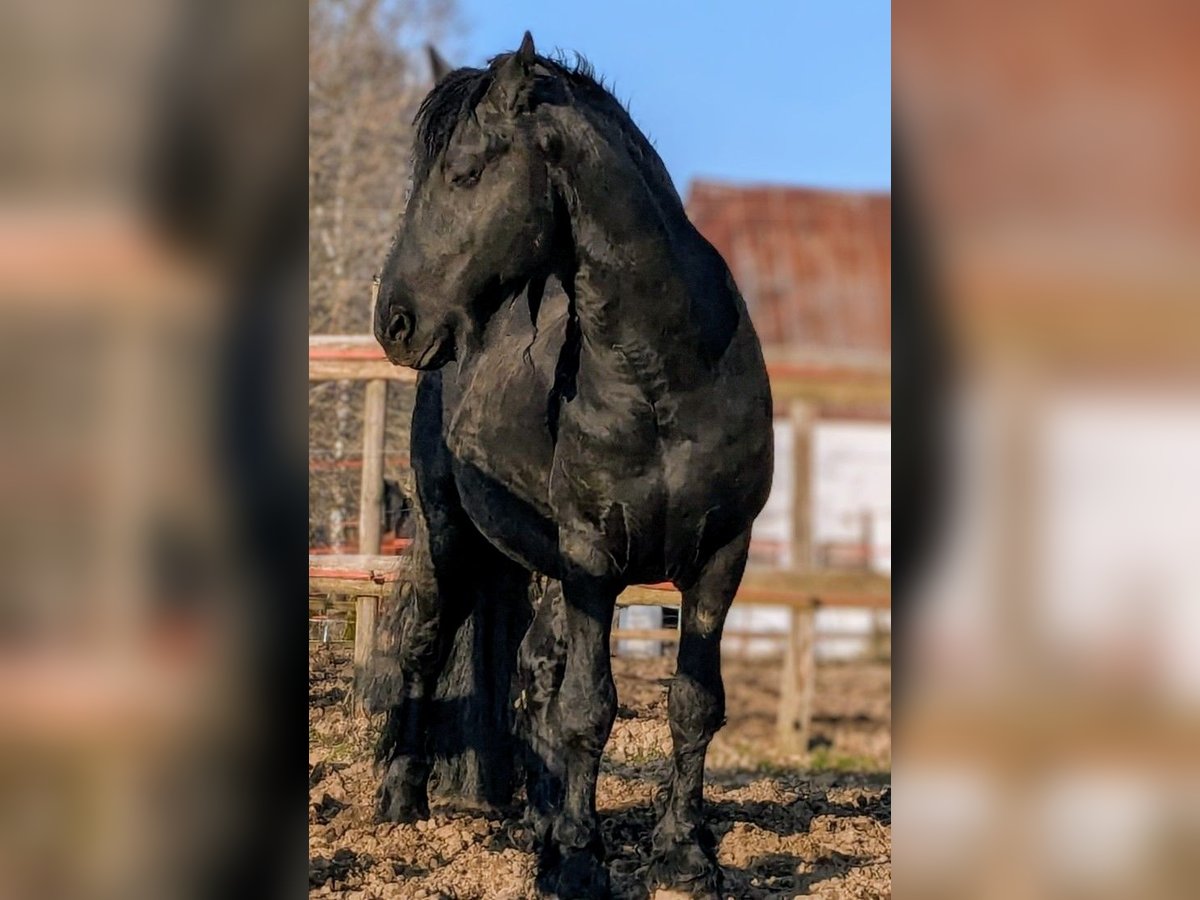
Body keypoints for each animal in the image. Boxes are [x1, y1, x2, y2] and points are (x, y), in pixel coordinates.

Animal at [367, 31, 768, 897]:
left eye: (464, 172)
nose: (394, 320)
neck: (665, 379)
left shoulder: (721, 559)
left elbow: (693, 704)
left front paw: (685, 854)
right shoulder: (593, 561)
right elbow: (589, 709)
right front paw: (584, 863)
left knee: (532, 674)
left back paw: (540, 822)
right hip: (452, 537)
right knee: (426, 647)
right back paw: (402, 798)